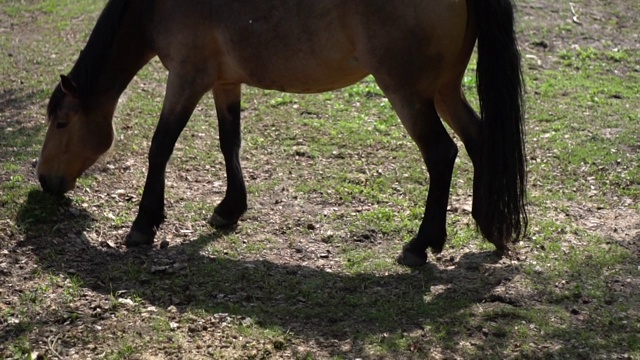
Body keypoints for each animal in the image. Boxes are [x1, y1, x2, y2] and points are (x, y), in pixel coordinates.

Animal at [35, 0, 528, 266]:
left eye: (61, 123)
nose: (43, 180)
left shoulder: (186, 79)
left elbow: (161, 147)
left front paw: (143, 224)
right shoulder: (223, 82)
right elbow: (229, 143)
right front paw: (229, 209)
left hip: (408, 93)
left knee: (442, 154)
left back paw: (420, 245)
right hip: (443, 90)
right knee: (479, 140)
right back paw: (488, 228)